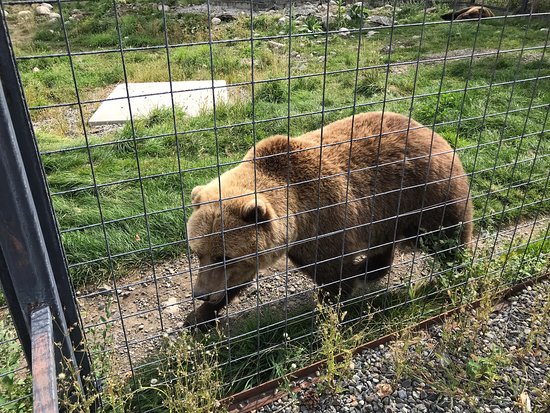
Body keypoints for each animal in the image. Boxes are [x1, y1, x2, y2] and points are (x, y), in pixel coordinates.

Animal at [185, 111, 474, 324]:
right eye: (198, 253)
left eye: (224, 256)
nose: (200, 293)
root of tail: (435, 134)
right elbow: (237, 279)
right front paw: (199, 317)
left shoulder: (324, 223)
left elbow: (334, 275)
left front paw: (324, 313)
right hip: (387, 214)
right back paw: (368, 268)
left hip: (427, 195)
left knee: (447, 238)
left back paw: (455, 271)